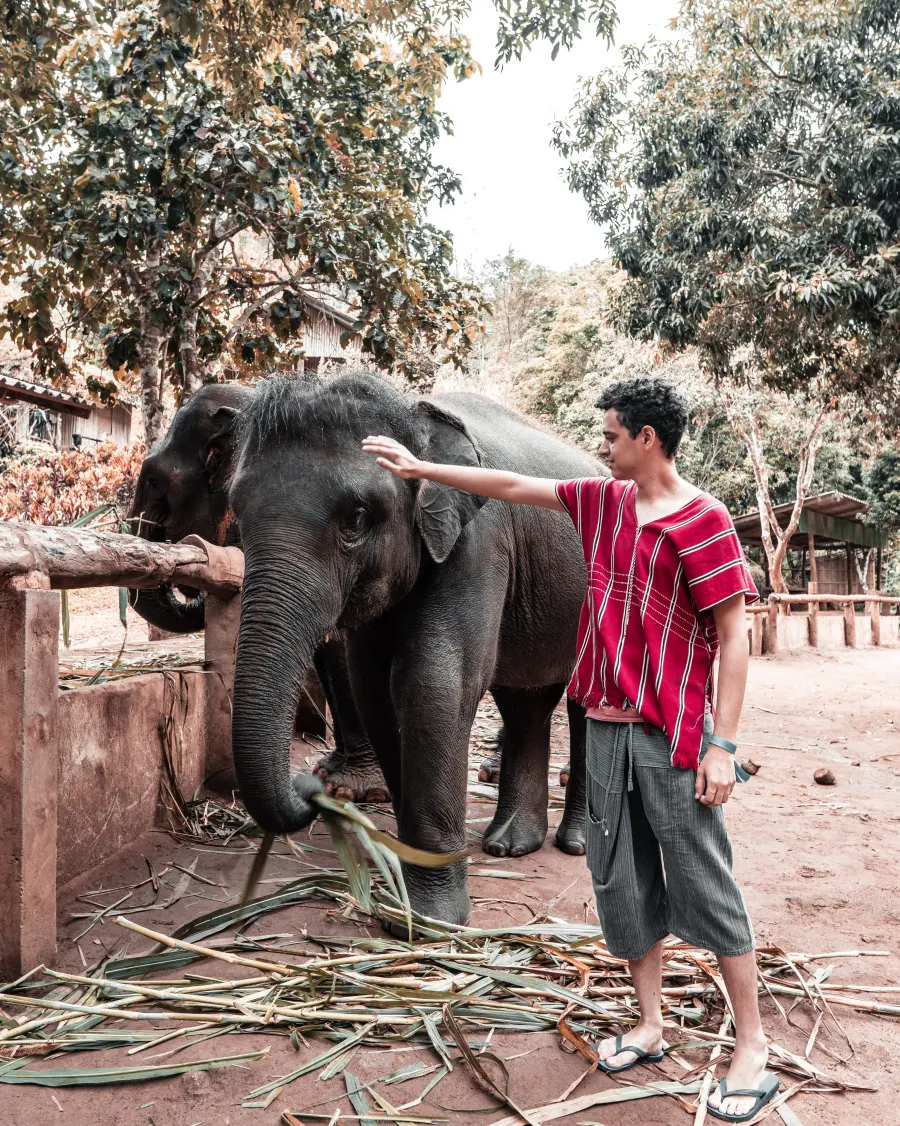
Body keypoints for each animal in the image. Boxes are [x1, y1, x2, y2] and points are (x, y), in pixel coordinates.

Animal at [227, 371, 596, 929]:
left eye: (356, 519)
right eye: (237, 516)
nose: (313, 786)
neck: (412, 412)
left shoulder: (478, 542)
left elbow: (432, 684)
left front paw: (429, 922)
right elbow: (374, 691)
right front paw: (403, 888)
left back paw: (575, 845)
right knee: (524, 700)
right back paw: (509, 846)